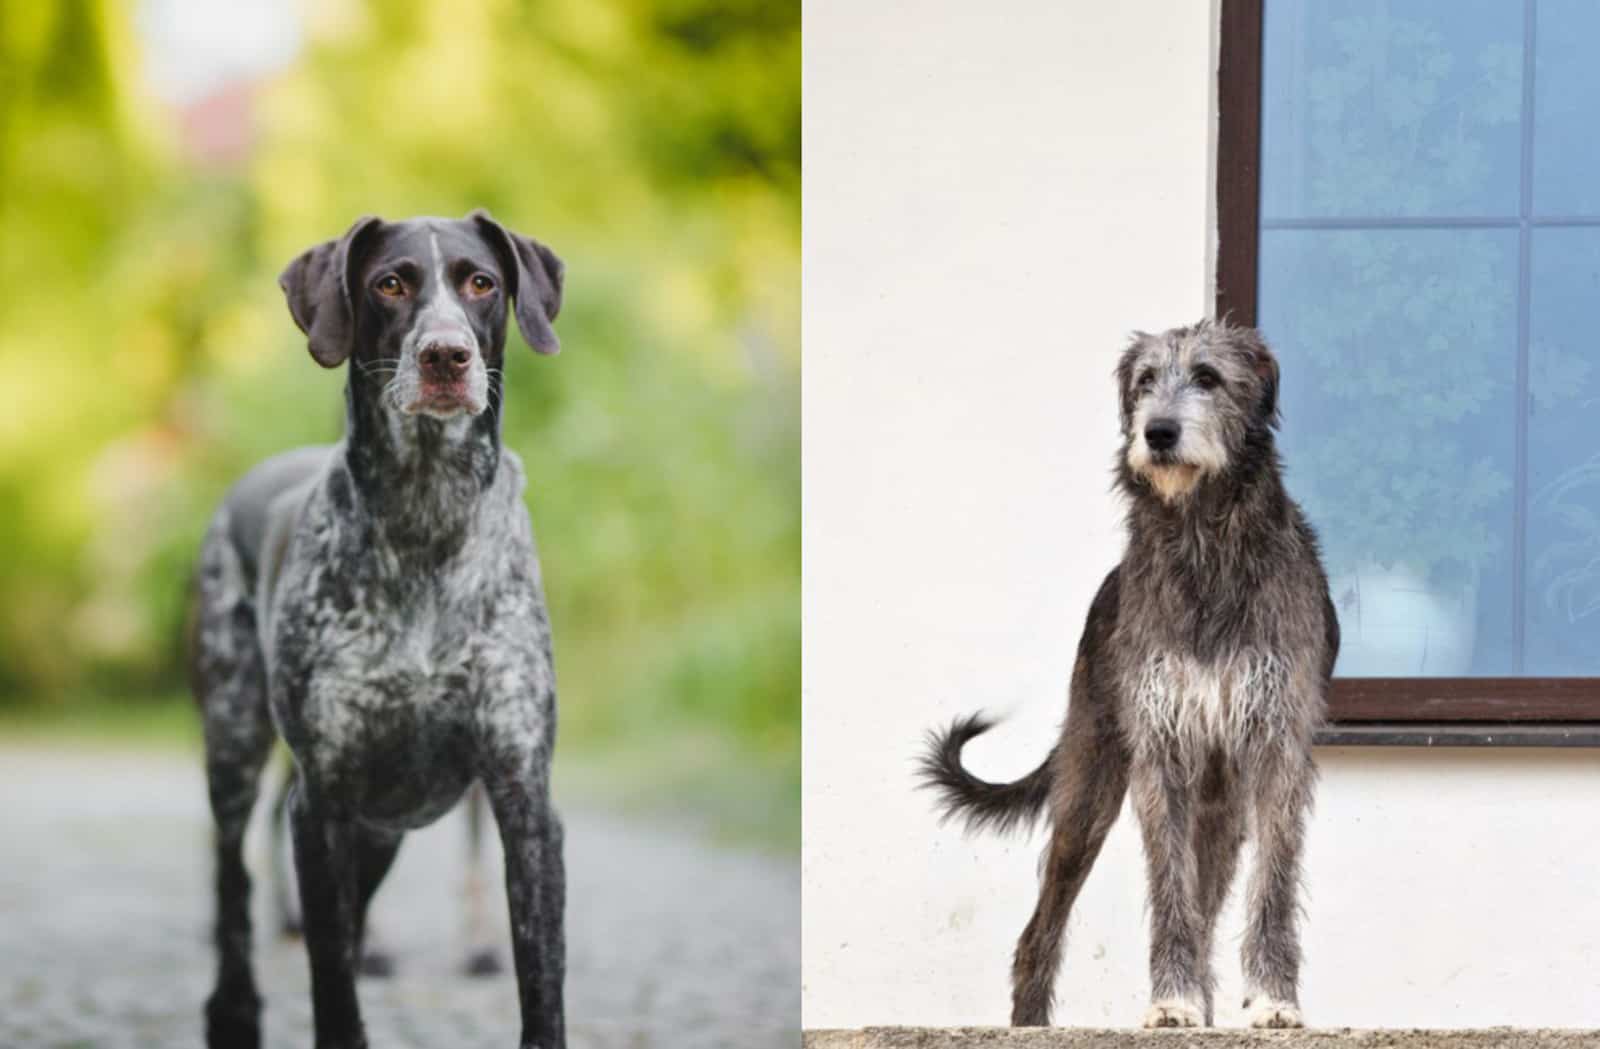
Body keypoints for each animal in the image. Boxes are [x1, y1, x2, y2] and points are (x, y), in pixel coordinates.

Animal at [187, 209, 569, 1042]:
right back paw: (233, 1007)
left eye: (480, 281)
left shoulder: (523, 794)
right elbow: (333, 975)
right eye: (389, 283)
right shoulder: (323, 799)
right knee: (232, 879)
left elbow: (540, 975)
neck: (426, 512)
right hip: (235, 742)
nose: (446, 355)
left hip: (382, 826)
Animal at [915, 319, 1337, 1029]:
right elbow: (1169, 887)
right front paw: (1172, 1000)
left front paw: (1275, 998)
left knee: (1210, 901)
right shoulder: (1160, 748)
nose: (1158, 432)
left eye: (1207, 377)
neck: (1203, 549)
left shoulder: (1277, 740)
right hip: (1089, 788)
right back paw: (1032, 1021)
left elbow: (1272, 883)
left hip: (1221, 810)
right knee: (1041, 929)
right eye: (1144, 382)